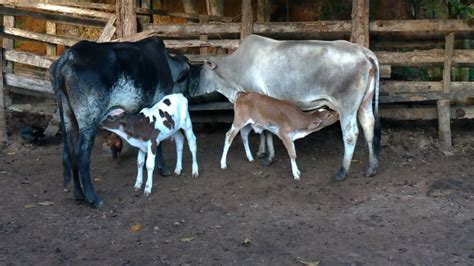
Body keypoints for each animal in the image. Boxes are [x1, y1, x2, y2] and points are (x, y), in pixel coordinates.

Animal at [50, 36, 193, 208]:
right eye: (188, 78)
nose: (188, 96)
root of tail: (69, 55)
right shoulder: (157, 102)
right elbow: (158, 143)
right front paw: (163, 169)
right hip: (89, 120)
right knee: (82, 155)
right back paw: (93, 198)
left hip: (68, 117)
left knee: (70, 153)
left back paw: (78, 194)